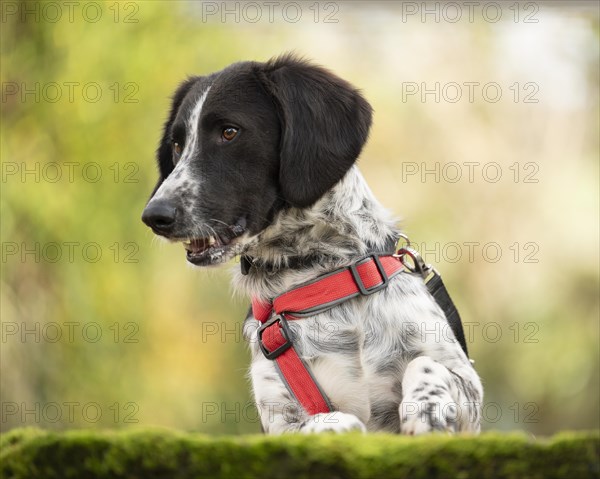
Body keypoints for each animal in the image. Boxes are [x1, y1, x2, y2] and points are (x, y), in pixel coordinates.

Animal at [143, 53, 486, 436]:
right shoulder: (279, 418)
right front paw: (343, 425)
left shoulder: (467, 382)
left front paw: (428, 410)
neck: (319, 274)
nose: (155, 215)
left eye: (229, 132)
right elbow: (327, 420)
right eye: (177, 144)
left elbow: (426, 365)